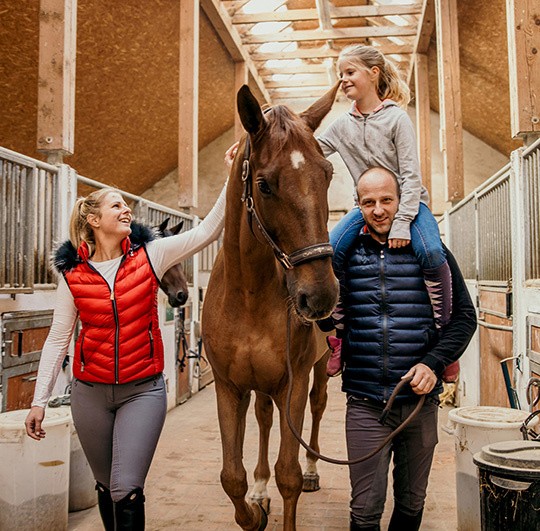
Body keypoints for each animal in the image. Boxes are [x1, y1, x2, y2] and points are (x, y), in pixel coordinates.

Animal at [200, 84, 340, 531]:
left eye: (327, 174)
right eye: (263, 185)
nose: (319, 296)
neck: (248, 296)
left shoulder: (291, 384)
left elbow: (288, 475)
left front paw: (292, 482)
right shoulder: (229, 387)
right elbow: (232, 477)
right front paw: (256, 509)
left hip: (319, 368)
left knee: (318, 406)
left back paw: (313, 469)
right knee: (263, 418)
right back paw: (261, 490)